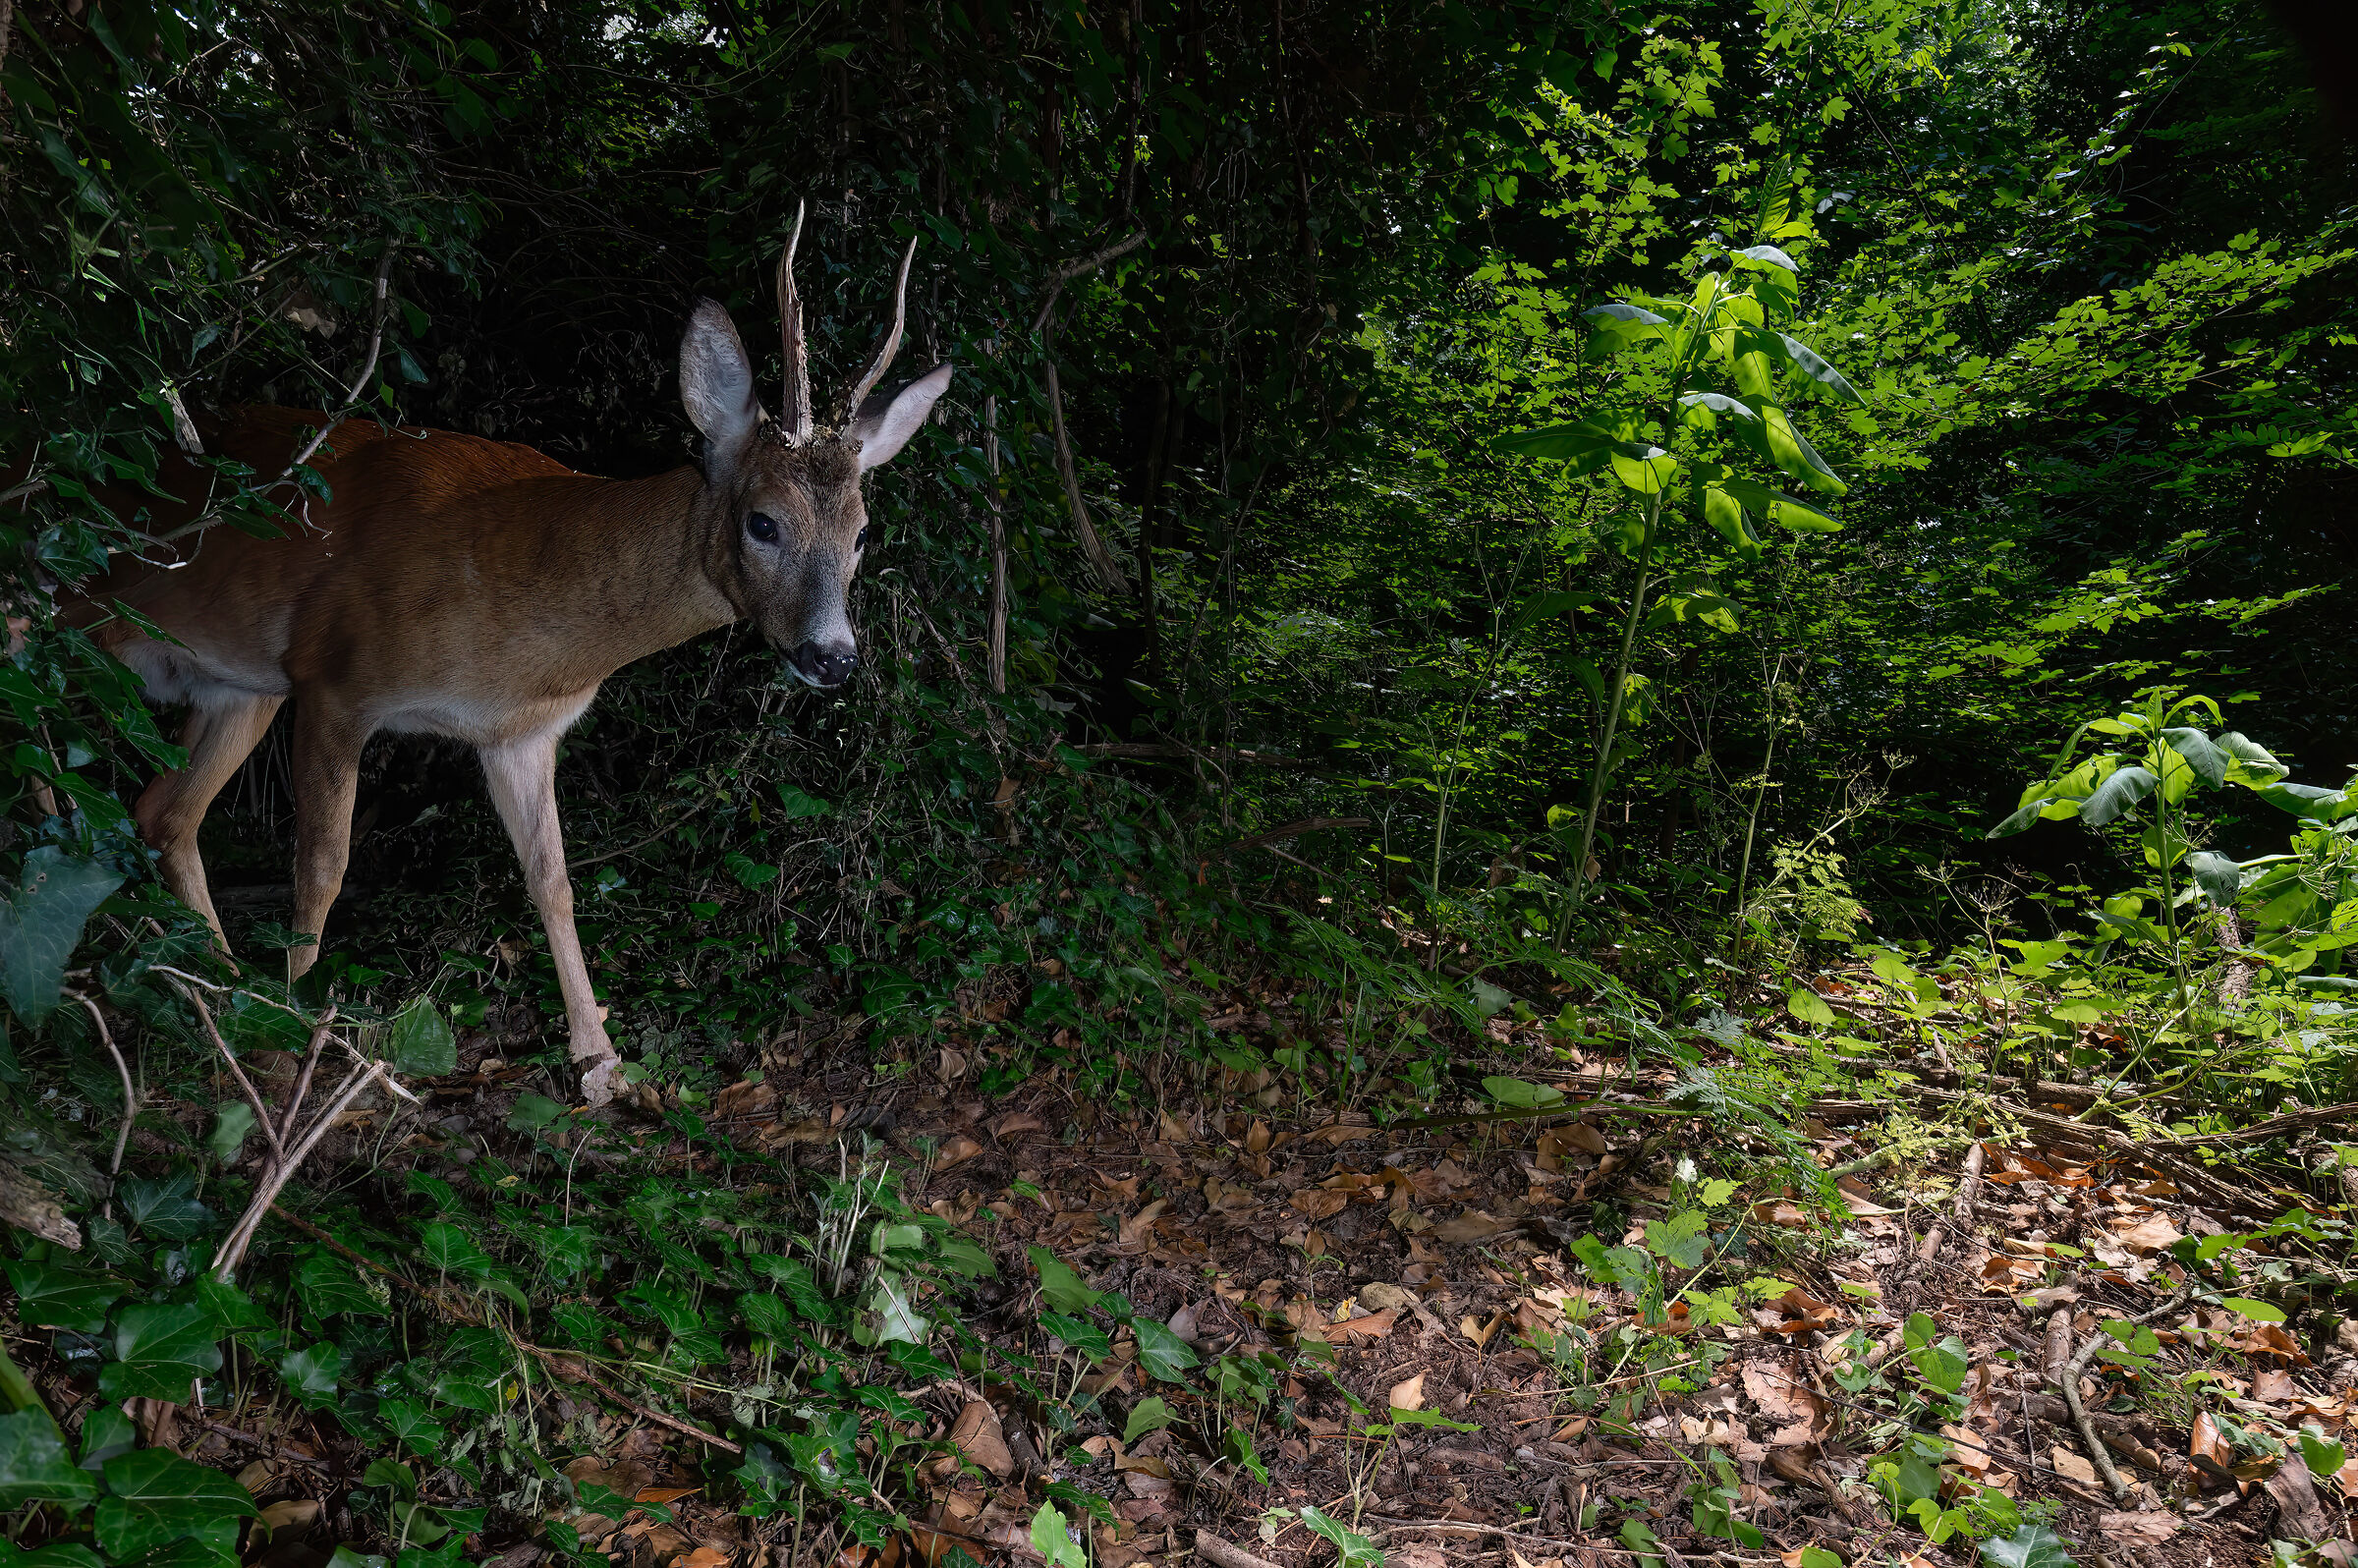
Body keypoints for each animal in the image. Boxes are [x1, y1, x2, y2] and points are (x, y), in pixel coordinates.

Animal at [66, 209, 951, 1105]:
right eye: (763, 522)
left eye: (862, 533)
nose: (833, 657)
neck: (528, 614)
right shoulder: (333, 680)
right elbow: (322, 865)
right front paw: (297, 1044)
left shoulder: (520, 734)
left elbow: (553, 881)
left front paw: (600, 1063)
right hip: (78, 619)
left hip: (237, 687)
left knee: (163, 811)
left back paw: (216, 989)